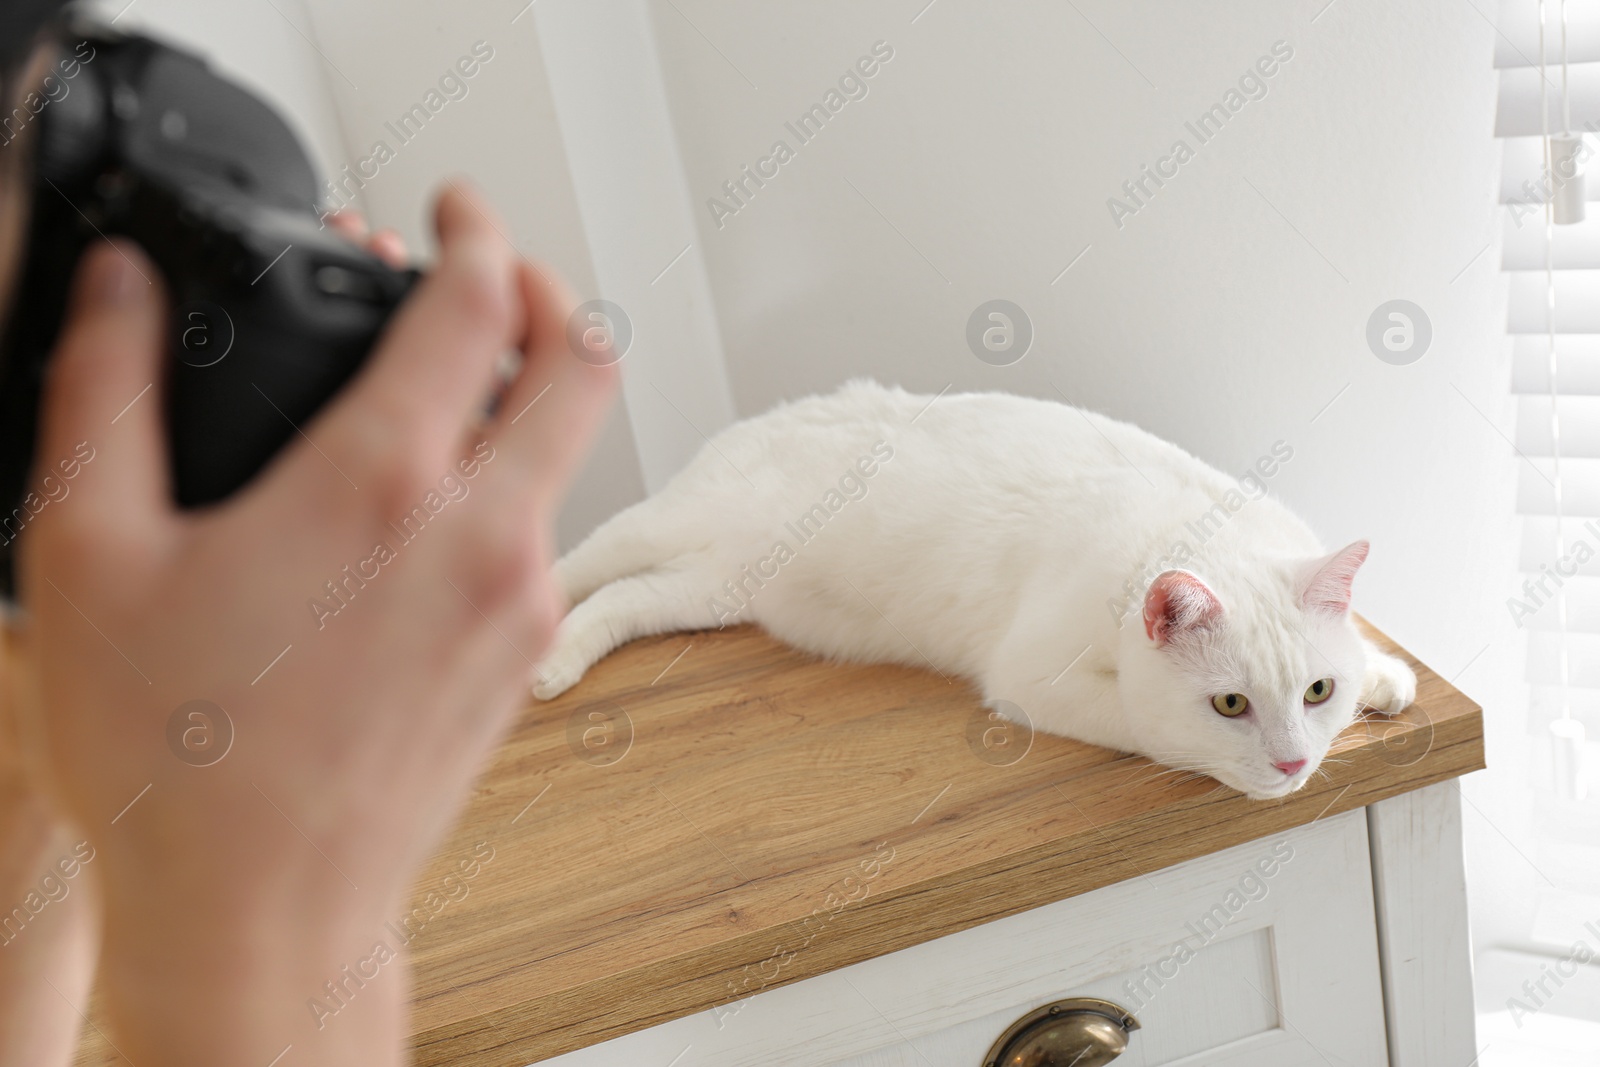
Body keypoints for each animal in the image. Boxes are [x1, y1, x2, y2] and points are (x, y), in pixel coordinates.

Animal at [534, 379, 1414, 796]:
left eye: (1317, 691)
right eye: (1231, 704)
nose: (1294, 763)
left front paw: (1384, 676)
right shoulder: (1031, 674)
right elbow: (1147, 724)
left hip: (710, 590)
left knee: (619, 599)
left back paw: (553, 662)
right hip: (664, 525)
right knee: (576, 567)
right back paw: (533, 650)